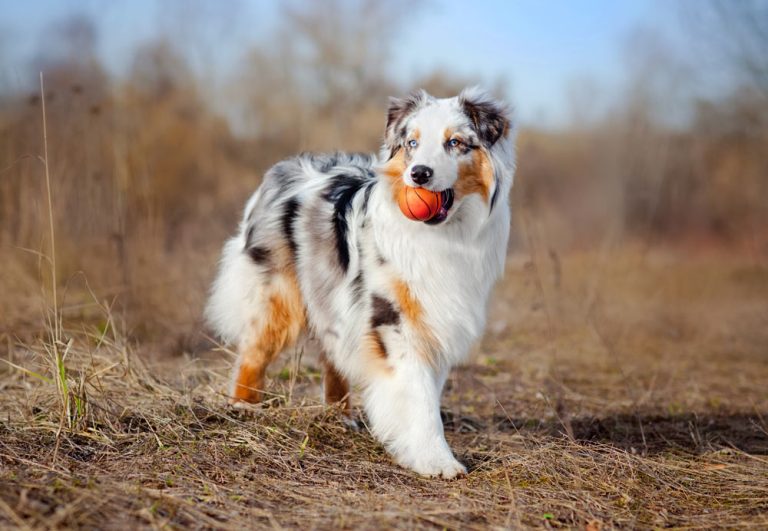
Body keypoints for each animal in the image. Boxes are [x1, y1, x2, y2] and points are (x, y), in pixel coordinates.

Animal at [206, 86, 516, 478]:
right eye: (412, 143)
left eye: (455, 142)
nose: (419, 174)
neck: (444, 235)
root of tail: (283, 168)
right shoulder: (393, 319)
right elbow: (418, 396)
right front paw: (436, 460)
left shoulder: (436, 319)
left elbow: (428, 391)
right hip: (278, 296)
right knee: (254, 351)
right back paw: (243, 406)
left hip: (332, 298)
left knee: (332, 355)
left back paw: (340, 417)